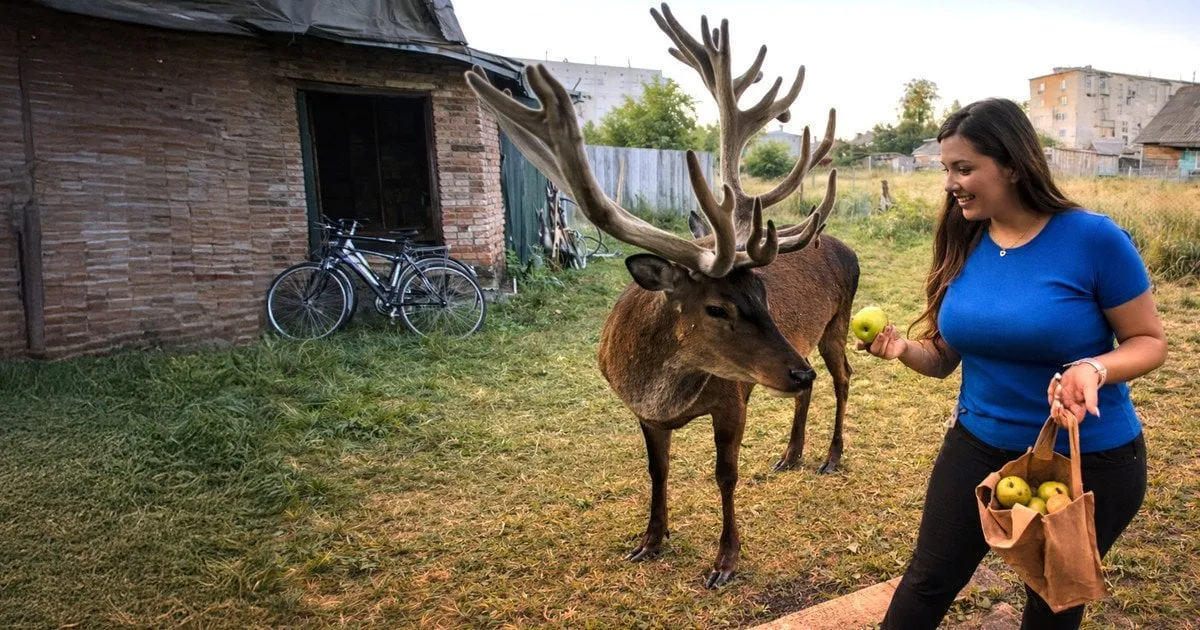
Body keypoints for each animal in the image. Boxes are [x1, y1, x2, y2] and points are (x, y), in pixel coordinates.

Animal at [465, 4, 859, 588]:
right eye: (717, 307)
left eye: (763, 294)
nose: (795, 372)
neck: (661, 391)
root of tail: (843, 245)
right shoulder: (644, 414)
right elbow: (657, 470)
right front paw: (650, 541)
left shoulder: (732, 397)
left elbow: (724, 474)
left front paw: (724, 561)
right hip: (805, 344)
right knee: (814, 389)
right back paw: (790, 453)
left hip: (836, 323)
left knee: (843, 377)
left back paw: (830, 454)